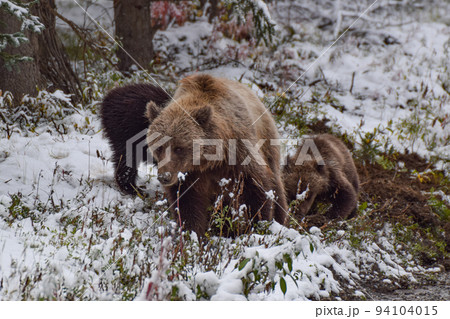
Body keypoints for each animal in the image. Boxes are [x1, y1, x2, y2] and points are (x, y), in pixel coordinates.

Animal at [147, 74, 288, 236]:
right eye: (159, 147)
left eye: (179, 148)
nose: (165, 176)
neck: (209, 161)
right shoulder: (190, 175)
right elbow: (187, 203)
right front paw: (192, 233)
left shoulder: (239, 153)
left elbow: (256, 187)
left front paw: (259, 225)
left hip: (268, 141)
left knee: (277, 185)